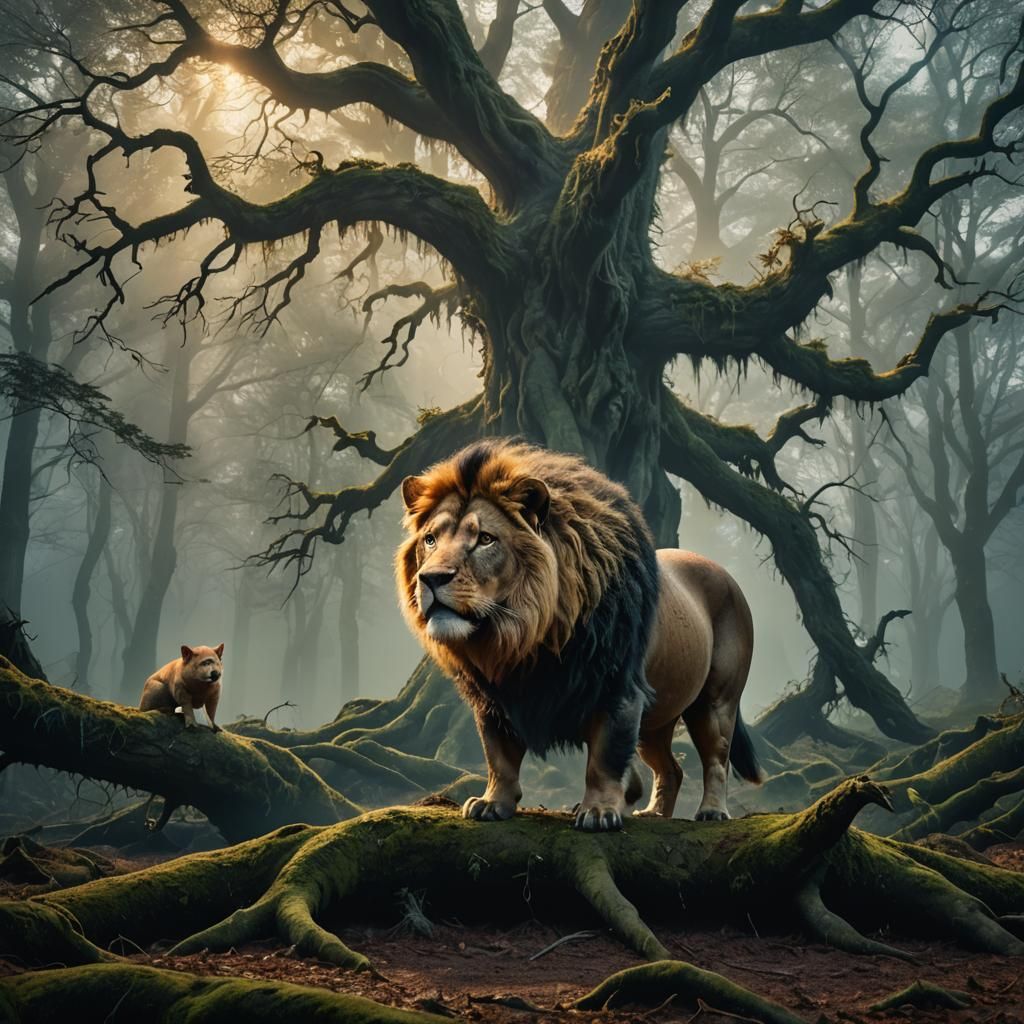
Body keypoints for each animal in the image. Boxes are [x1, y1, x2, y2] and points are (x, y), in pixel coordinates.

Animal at [397, 439, 761, 832]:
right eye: (430, 540)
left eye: (485, 540)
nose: (431, 578)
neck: (523, 637)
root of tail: (725, 574)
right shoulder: (494, 700)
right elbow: (499, 757)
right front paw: (493, 803)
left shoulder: (618, 691)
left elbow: (604, 759)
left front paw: (599, 812)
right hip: (657, 716)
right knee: (671, 769)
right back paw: (653, 814)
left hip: (715, 701)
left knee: (716, 758)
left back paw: (711, 812)